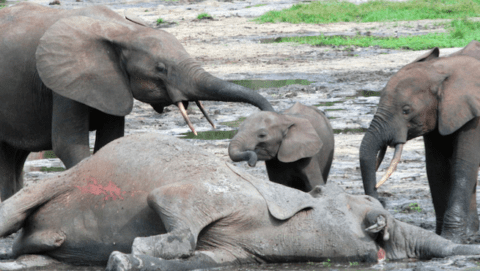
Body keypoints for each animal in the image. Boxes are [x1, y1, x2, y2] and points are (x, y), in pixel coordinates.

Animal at [0, 2, 274, 202]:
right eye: (161, 69)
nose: (255, 157)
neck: (122, 31)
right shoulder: (64, 82)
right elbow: (69, 145)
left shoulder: (111, 83)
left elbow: (110, 143)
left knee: (13, 155)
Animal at [0, 134, 480, 271]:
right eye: (369, 212)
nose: (383, 228)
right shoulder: (217, 191)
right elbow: (167, 202)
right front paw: (134, 249)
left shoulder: (234, 248)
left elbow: (199, 257)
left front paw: (126, 258)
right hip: (68, 178)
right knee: (18, 206)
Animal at [360, 41, 480, 244]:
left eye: (406, 110)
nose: (381, 202)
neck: (440, 70)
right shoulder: (438, 114)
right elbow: (436, 168)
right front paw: (441, 237)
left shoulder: (474, 114)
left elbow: (464, 165)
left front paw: (452, 238)